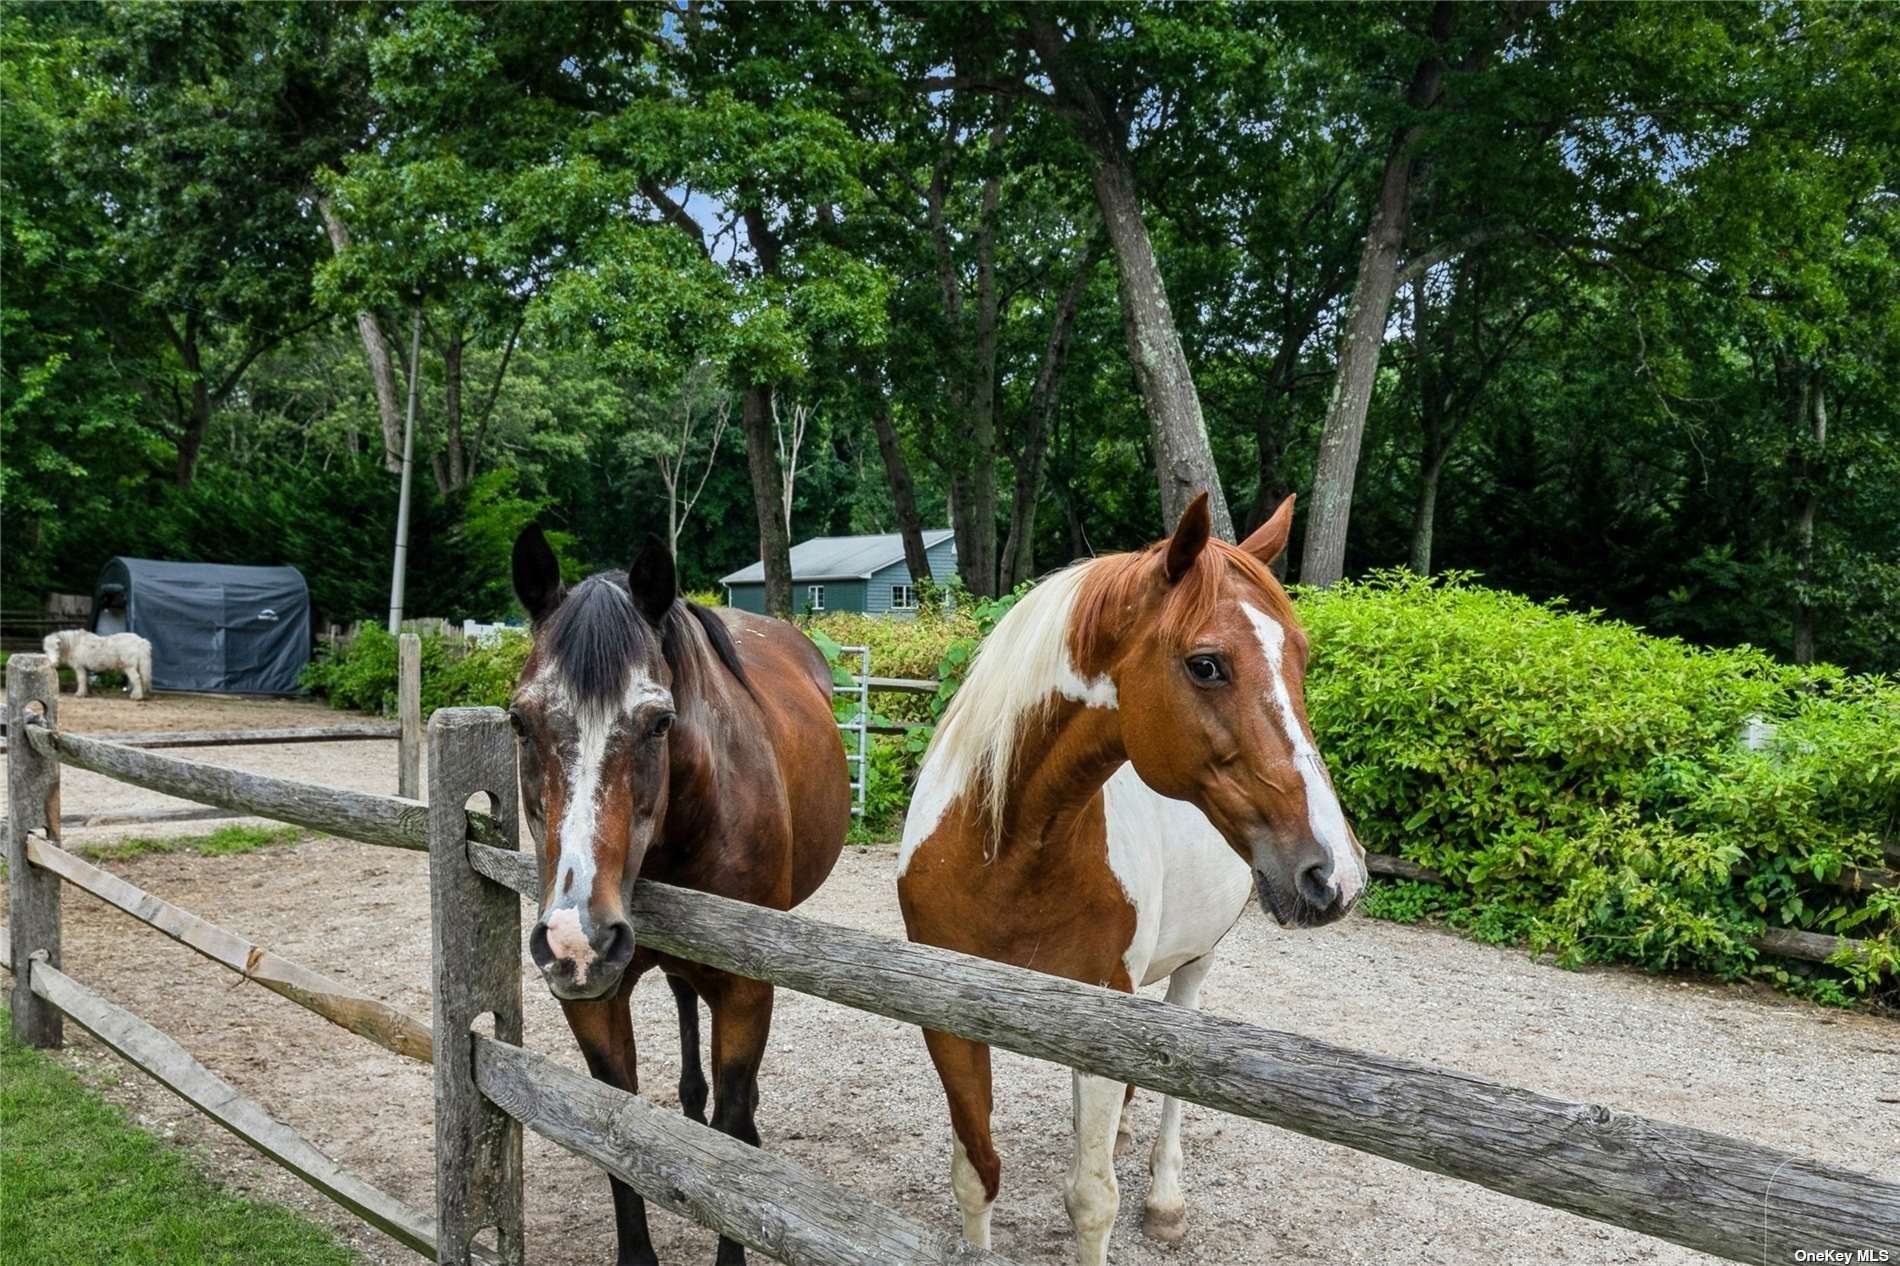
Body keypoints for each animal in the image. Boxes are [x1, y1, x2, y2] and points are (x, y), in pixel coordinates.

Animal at [513, 524, 855, 1262]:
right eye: (520, 721)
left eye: (659, 722)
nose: (577, 939)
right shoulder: (592, 1000)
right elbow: (615, 1126)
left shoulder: (748, 989)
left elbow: (731, 1142)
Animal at [893, 494, 1368, 1262]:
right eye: (1206, 665)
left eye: (1300, 659)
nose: (1337, 872)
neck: (1006, 850)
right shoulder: (946, 1012)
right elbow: (976, 1171)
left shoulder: (1098, 1013)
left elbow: (1092, 1201)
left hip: (1197, 964)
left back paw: (1166, 1197)